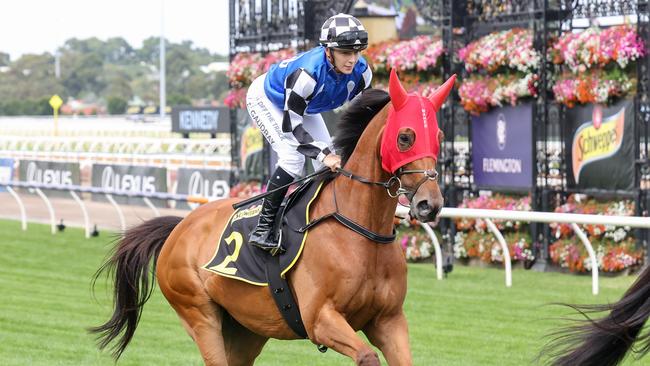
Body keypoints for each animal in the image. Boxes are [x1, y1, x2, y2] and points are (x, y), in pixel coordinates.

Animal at [91, 70, 454, 364]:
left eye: (438, 136)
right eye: (405, 137)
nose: (430, 204)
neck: (360, 228)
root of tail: (180, 227)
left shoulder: (389, 320)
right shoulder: (320, 319)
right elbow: (366, 356)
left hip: (246, 327)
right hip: (199, 315)